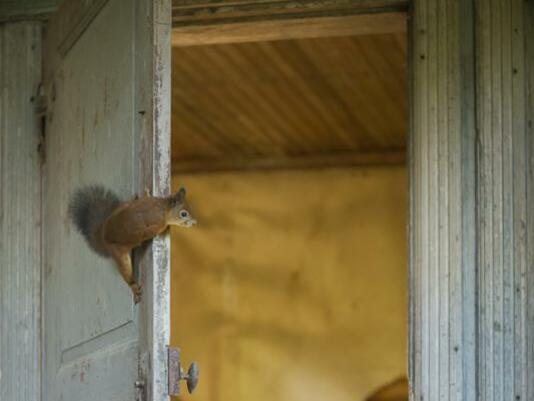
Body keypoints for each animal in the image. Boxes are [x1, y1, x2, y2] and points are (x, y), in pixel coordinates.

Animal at [69, 186, 197, 302]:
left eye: (191, 207)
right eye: (184, 214)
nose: (194, 222)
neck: (163, 208)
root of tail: (103, 235)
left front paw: (146, 192)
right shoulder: (154, 225)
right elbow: (152, 232)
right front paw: (167, 228)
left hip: (124, 206)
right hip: (120, 255)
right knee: (127, 274)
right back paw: (134, 287)